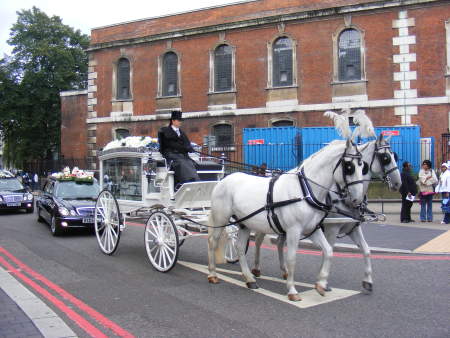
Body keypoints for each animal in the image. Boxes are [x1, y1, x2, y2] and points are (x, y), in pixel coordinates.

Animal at [207, 140, 366, 302]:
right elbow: (292, 259)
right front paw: (292, 290)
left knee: (239, 247)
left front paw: (321, 284)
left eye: (363, 166)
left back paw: (249, 279)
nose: (358, 200)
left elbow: (328, 251)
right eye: (349, 166)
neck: (305, 191)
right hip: (221, 218)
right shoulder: (293, 231)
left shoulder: (312, 229)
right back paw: (213, 274)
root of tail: (224, 180)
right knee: (213, 242)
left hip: (245, 223)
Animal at [251, 133, 402, 292]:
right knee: (259, 241)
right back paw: (256, 268)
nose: (398, 183)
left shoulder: (353, 228)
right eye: (385, 157)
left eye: (394, 156)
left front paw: (367, 280)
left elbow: (366, 250)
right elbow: (328, 250)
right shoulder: (331, 229)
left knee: (280, 243)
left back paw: (284, 270)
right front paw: (323, 280)